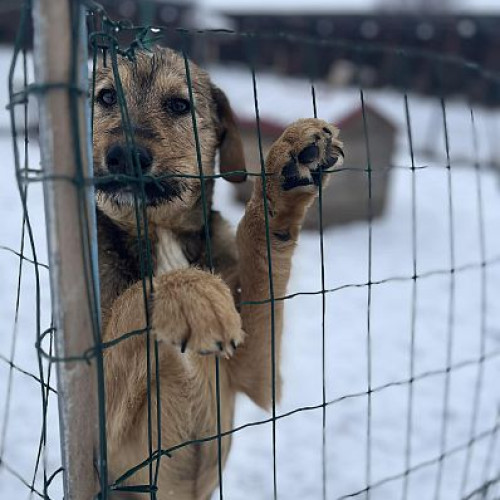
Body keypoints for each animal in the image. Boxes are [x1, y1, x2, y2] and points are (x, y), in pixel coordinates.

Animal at [93, 46, 344, 496]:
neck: (161, 230)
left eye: (179, 105)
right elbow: (135, 299)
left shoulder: (260, 377)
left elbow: (260, 258)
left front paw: (286, 173)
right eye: (105, 97)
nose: (123, 154)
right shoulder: (99, 432)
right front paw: (193, 293)